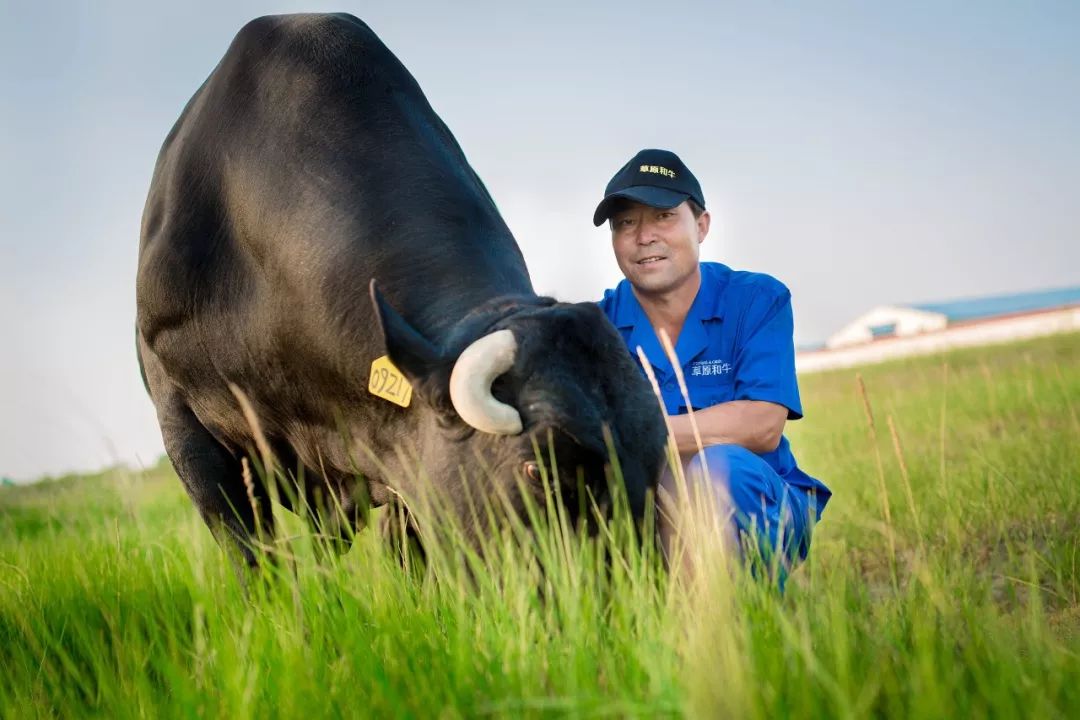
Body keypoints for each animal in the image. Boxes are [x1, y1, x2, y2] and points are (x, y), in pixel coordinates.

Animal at [130, 11, 660, 565]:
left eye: (657, 456)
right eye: (538, 469)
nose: (638, 582)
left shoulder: (401, 460)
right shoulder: (184, 426)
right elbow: (254, 557)